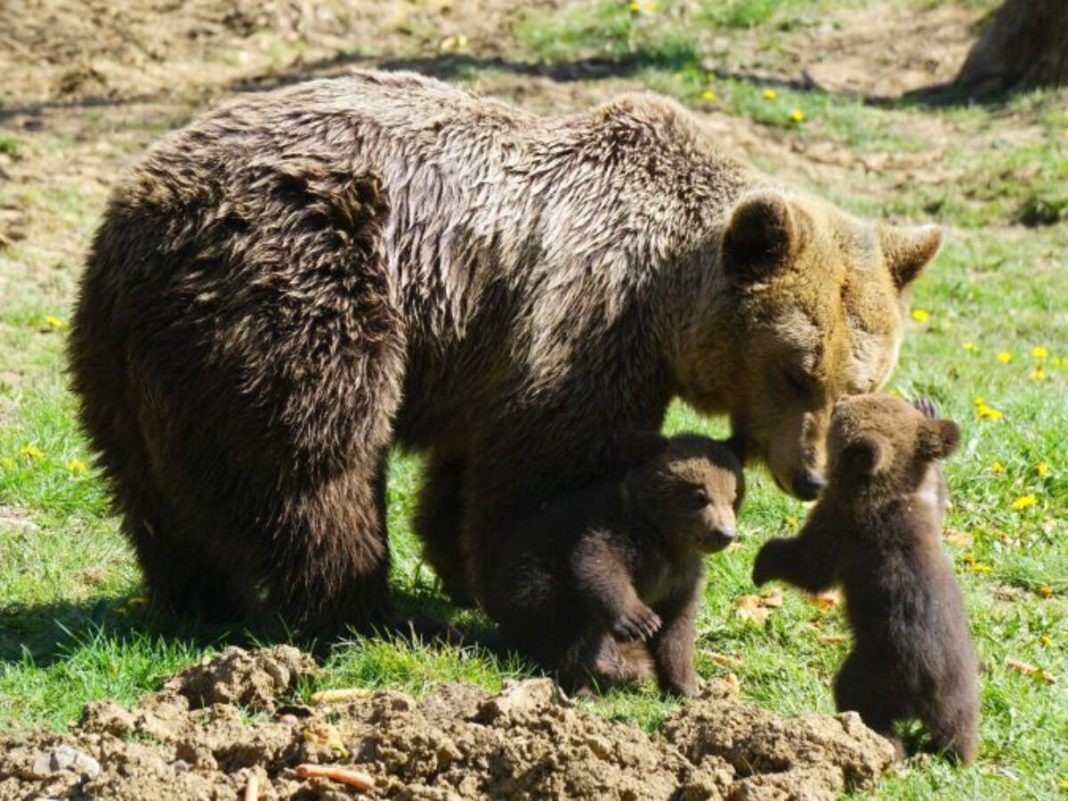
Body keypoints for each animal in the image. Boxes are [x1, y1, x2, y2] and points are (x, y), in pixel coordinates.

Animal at [68, 68, 944, 636]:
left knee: (151, 482)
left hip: (124, 353)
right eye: (796, 369)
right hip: (305, 280)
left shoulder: (493, 345)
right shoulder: (582, 324)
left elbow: (464, 471)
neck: (664, 295)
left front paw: (459, 566)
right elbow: (547, 471)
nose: (812, 476)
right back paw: (360, 606)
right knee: (312, 459)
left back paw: (196, 595)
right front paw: (547, 596)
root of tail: (140, 205)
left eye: (857, 382)